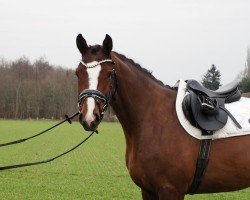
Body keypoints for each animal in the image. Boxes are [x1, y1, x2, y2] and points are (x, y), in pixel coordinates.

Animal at [74, 33, 250, 199]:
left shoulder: (171, 190)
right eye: (77, 73)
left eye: (109, 73)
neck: (153, 119)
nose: (89, 117)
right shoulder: (147, 191)